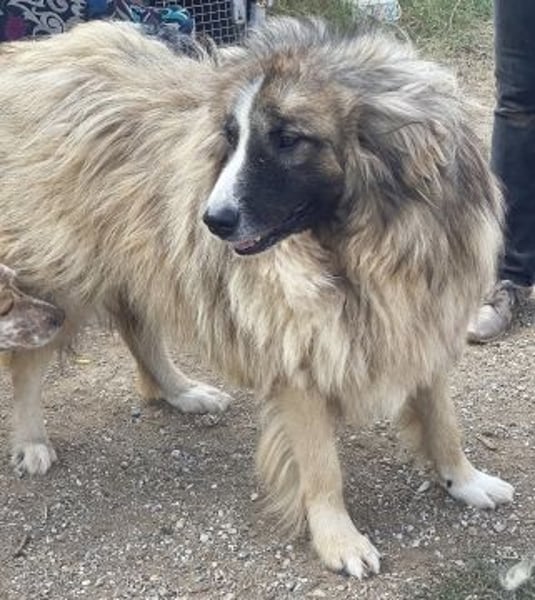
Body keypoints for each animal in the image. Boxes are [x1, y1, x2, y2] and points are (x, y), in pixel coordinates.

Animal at [0, 19, 513, 577]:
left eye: (287, 139)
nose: (212, 220)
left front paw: (464, 481)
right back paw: (31, 440)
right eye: (231, 137)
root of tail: (34, 55)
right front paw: (338, 539)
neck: (361, 244)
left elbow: (444, 422)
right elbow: (322, 468)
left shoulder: (424, 325)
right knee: (29, 363)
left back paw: (182, 392)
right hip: (59, 283)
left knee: (140, 331)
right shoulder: (301, 357)